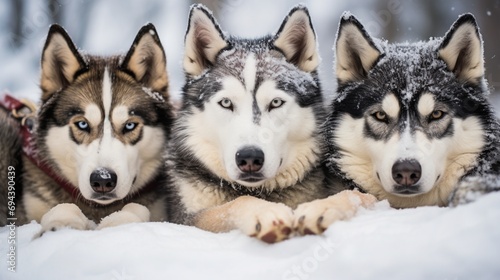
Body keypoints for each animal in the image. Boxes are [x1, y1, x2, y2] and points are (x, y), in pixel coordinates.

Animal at [0, 23, 174, 234]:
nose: (103, 180)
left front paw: (119, 221)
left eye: (129, 125)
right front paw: (62, 223)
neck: (99, 209)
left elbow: (136, 208)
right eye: (82, 124)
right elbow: (62, 207)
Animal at [168, 4, 376, 243]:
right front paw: (266, 212)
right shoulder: (185, 218)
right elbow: (236, 203)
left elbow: (356, 195)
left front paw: (322, 209)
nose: (249, 158)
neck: (258, 191)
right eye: (226, 103)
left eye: (276, 102)